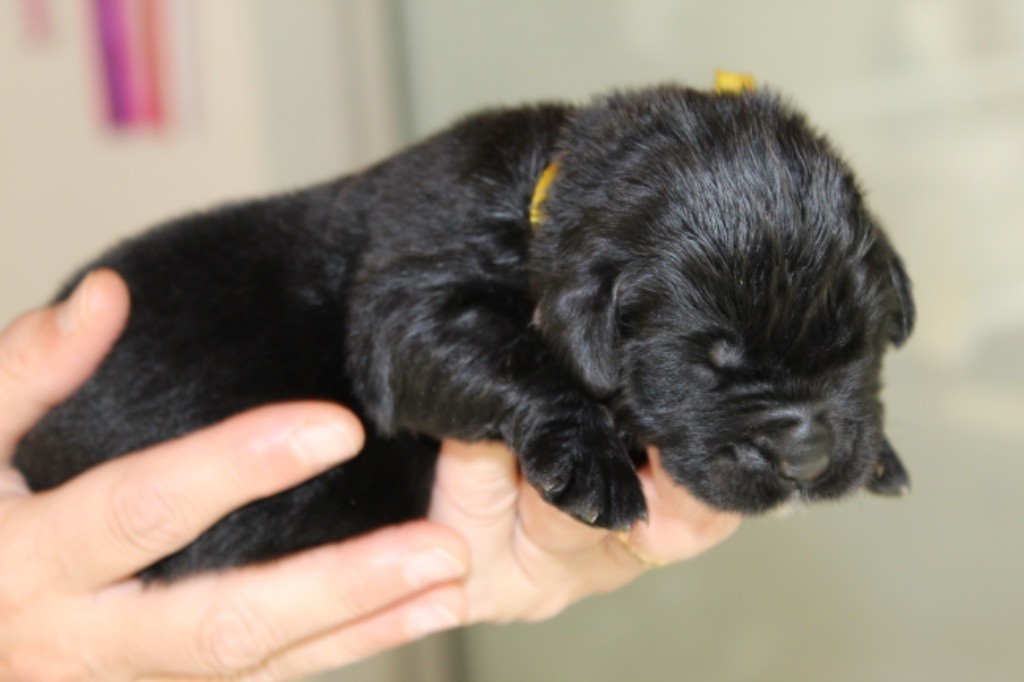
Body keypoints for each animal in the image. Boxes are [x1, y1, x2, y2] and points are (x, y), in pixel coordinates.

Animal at [14, 84, 914, 580]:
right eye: (709, 363)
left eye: (857, 347)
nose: (808, 457)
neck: (537, 202)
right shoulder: (407, 309)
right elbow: (508, 355)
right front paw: (591, 457)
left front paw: (878, 453)